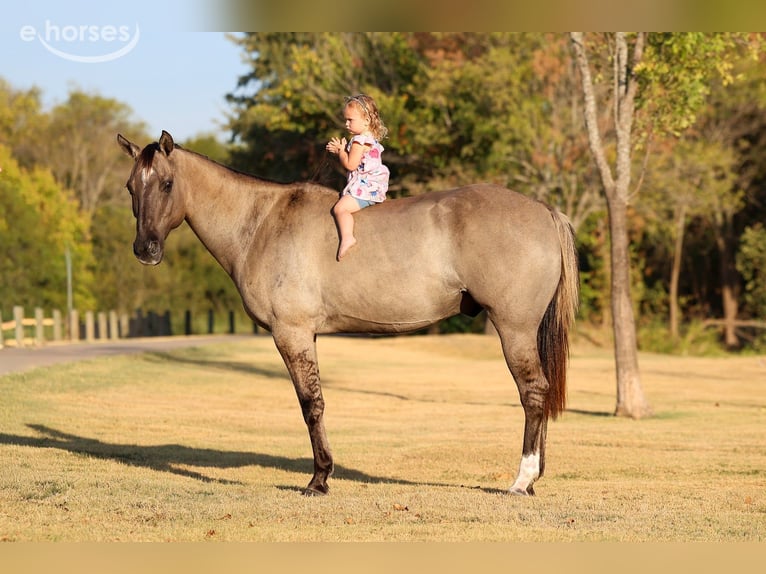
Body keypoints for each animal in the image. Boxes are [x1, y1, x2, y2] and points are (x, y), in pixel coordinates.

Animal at [117, 130, 579, 496]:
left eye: (167, 184)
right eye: (130, 187)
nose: (145, 250)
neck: (261, 222)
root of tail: (543, 210)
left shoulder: (292, 334)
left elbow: (311, 404)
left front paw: (319, 479)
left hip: (514, 328)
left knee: (532, 392)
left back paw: (522, 479)